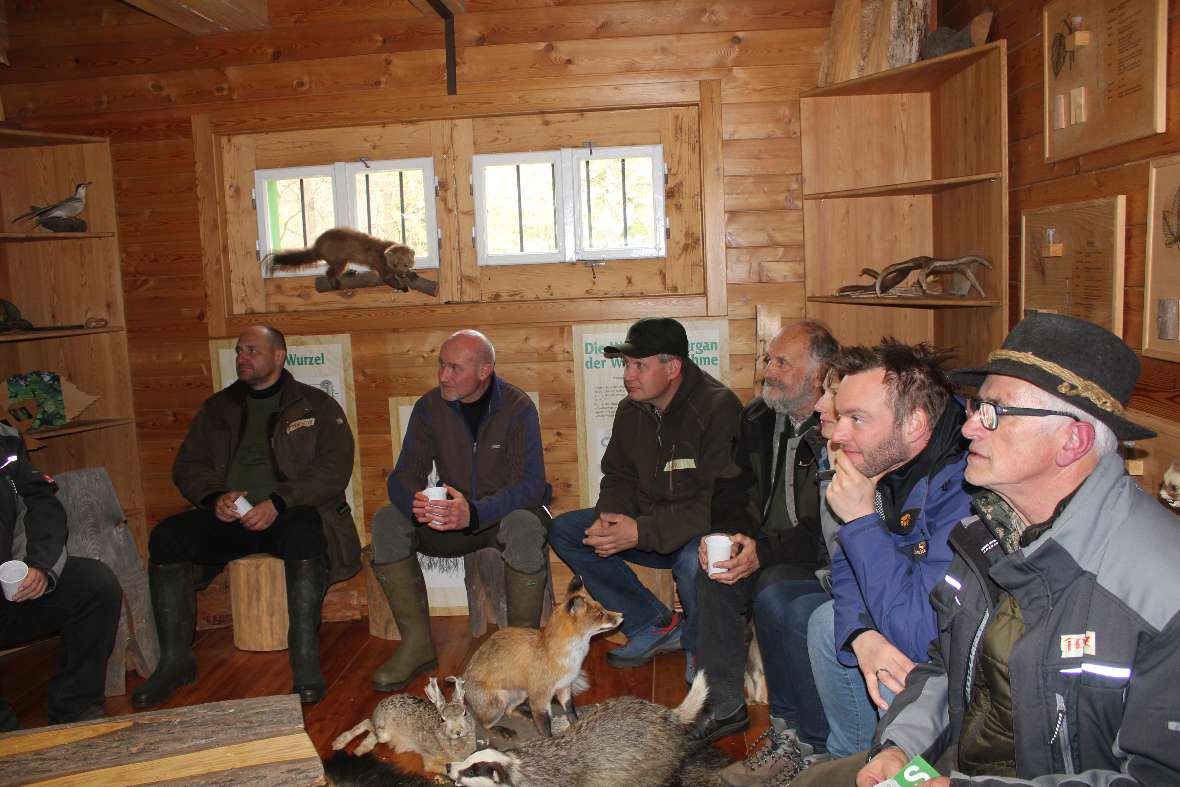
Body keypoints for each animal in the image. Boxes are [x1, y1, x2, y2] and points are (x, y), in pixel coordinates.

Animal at [269, 227, 420, 292]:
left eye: (406, 264)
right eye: (394, 264)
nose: (401, 273)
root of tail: (317, 246)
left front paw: (412, 274)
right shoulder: (381, 267)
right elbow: (388, 279)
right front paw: (403, 287)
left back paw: (351, 272)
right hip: (339, 260)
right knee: (329, 271)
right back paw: (335, 282)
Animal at [462, 578, 627, 740]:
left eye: (603, 608)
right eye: (600, 614)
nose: (622, 615)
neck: (568, 657)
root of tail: (464, 681)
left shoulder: (564, 687)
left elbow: (571, 712)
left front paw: (578, 728)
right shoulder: (540, 696)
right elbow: (546, 726)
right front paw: (549, 744)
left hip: (521, 694)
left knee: (509, 710)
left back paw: (526, 714)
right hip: (498, 703)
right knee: (484, 723)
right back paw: (501, 729)